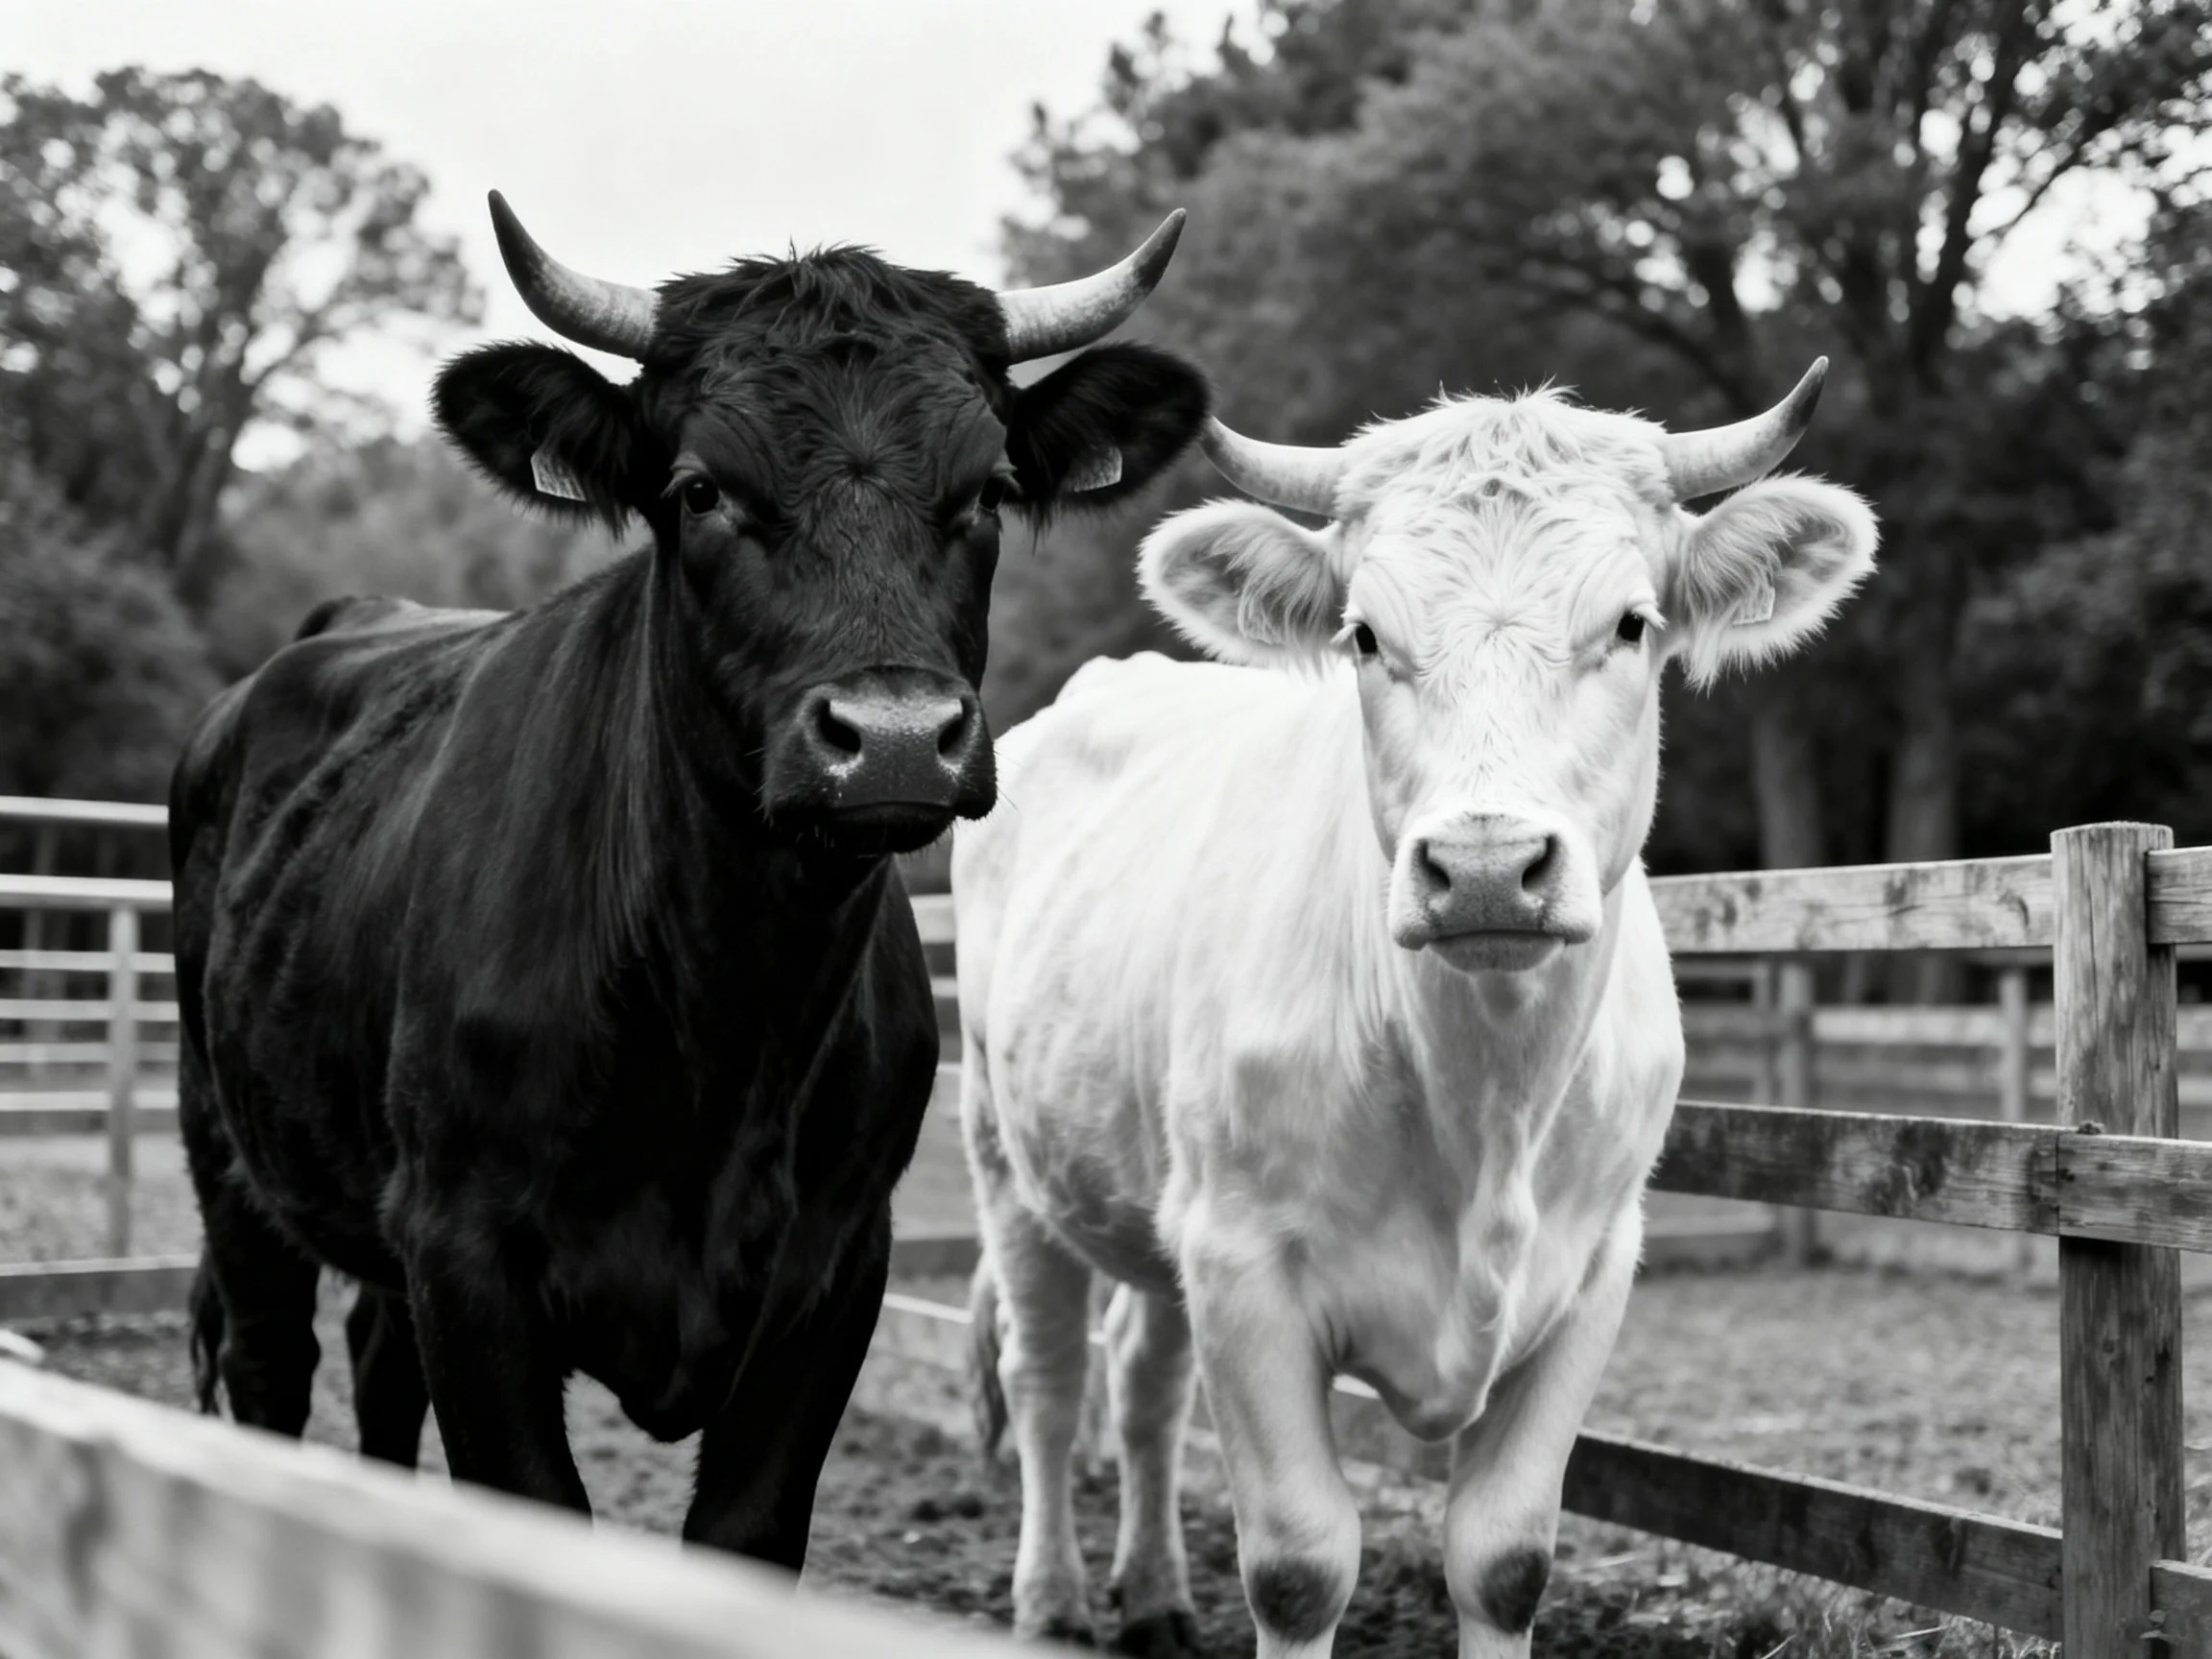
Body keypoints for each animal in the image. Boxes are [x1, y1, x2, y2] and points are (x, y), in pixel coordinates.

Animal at [168, 191, 1209, 1568]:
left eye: (990, 489)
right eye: (699, 489)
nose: (892, 736)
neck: (725, 1019)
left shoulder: (835, 1271)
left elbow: (746, 1534)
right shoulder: (467, 1255)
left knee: (375, 1370)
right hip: (229, 1153)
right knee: (270, 1370)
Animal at [955, 364, 1877, 1656]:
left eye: (1631, 623)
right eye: (1365, 635)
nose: (1486, 867)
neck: (1479, 1105)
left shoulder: (1592, 1271)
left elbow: (1505, 1562)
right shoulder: (1243, 1265)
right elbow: (1299, 1567)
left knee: (1141, 1381)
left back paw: (1159, 1597)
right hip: (1009, 1156)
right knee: (1048, 1382)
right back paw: (1052, 1601)